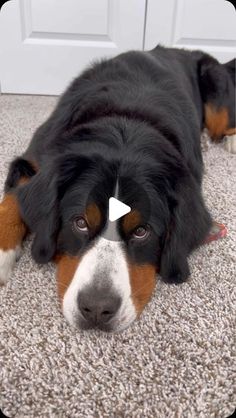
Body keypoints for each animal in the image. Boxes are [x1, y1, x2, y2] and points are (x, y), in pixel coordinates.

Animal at [0, 45, 235, 332]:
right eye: (80, 222)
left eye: (142, 231)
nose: (97, 308)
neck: (125, 125)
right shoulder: (36, 156)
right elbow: (12, 201)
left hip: (217, 96)